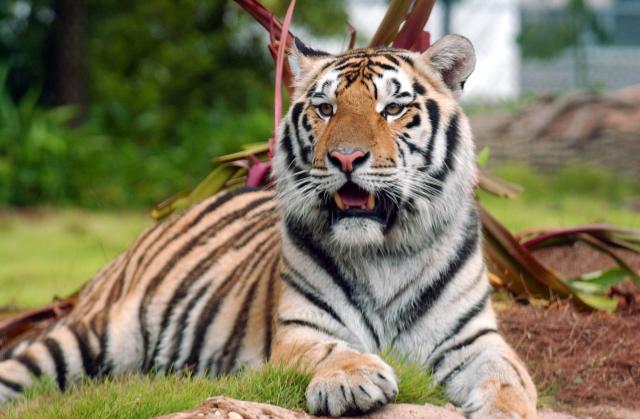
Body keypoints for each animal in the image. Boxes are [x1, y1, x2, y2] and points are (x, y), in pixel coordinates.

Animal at [0, 34, 536, 418]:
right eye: (325, 108)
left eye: (393, 108)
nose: (346, 158)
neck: (383, 252)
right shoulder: (300, 328)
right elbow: (327, 350)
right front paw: (352, 378)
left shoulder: (474, 340)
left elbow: (509, 380)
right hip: (88, 336)